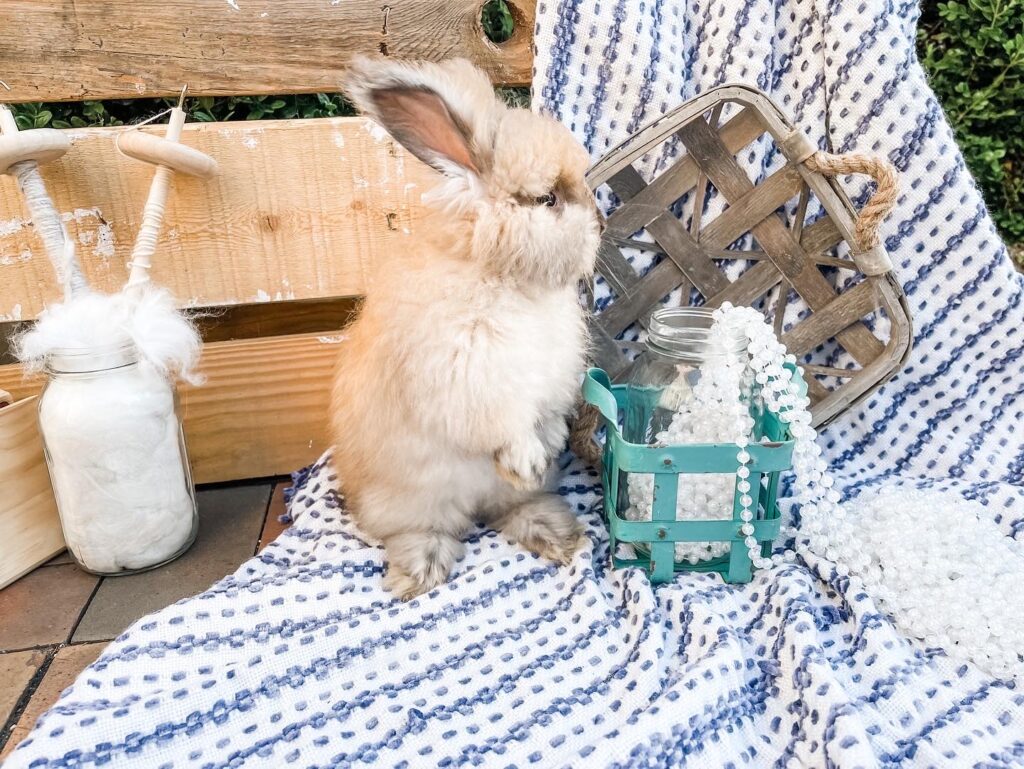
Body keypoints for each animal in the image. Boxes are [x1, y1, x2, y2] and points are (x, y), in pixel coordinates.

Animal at [327, 58, 602, 602]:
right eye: (547, 199)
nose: (601, 223)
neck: (505, 277)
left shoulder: (553, 379)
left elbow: (547, 415)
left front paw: (549, 445)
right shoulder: (469, 374)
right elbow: (505, 425)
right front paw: (526, 460)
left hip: (494, 497)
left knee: (510, 510)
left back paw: (557, 534)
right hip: (410, 500)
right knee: (417, 530)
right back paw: (421, 571)